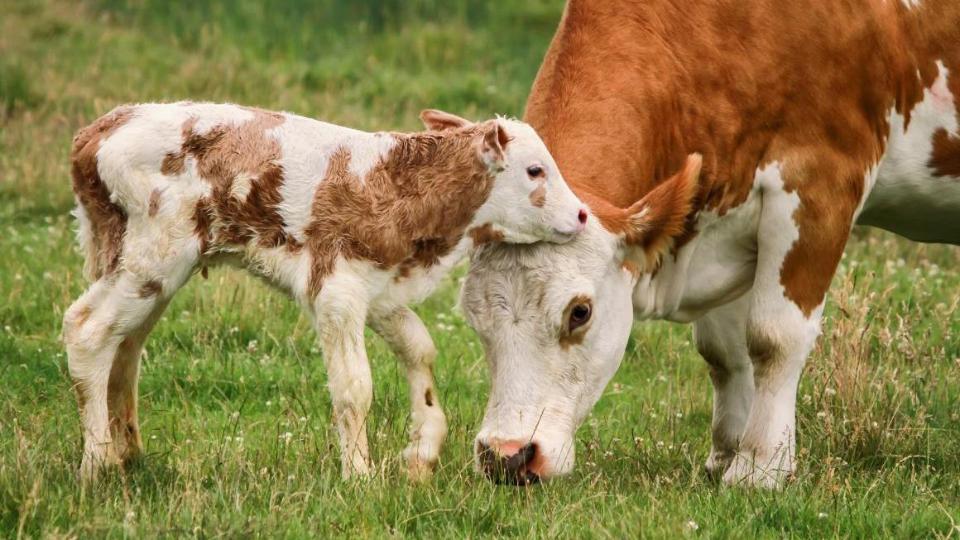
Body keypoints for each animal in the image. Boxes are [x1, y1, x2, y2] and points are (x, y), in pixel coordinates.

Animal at [63, 102, 588, 480]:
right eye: (535, 170)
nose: (583, 214)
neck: (398, 187)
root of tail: (98, 130)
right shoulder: (336, 289)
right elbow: (355, 386)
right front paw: (359, 476)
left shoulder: (380, 289)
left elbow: (420, 349)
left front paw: (421, 453)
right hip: (154, 255)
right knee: (87, 329)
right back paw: (98, 464)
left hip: (146, 266)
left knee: (126, 345)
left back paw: (130, 455)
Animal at [464, 0, 960, 488]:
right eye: (473, 318)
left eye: (579, 312)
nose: (507, 456)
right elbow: (726, 350)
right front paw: (726, 454)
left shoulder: (820, 183)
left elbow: (774, 337)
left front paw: (760, 466)